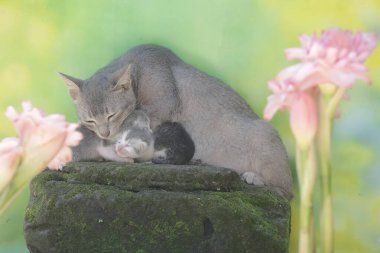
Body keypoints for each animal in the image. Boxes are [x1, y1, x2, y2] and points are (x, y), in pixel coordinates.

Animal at [60, 44, 294, 200]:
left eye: (111, 115)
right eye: (90, 119)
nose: (104, 133)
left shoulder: (163, 104)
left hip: (265, 133)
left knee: (285, 192)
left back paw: (255, 178)